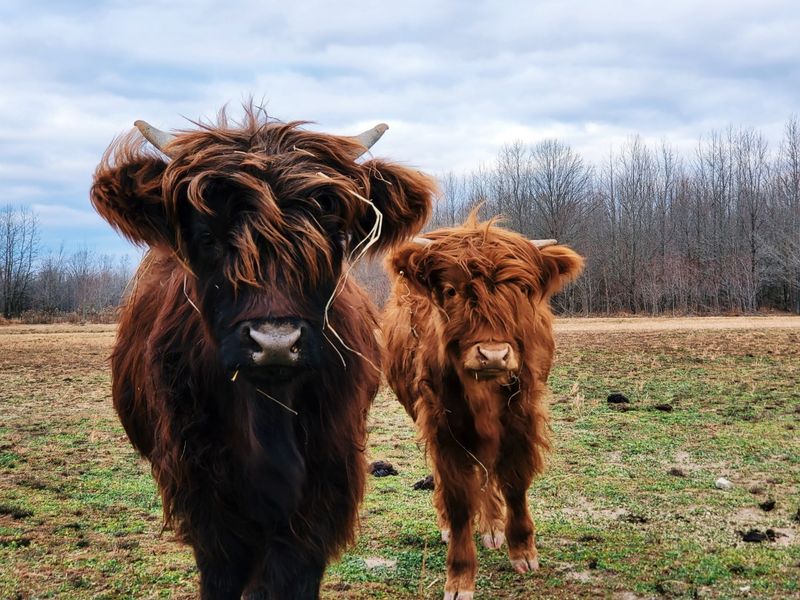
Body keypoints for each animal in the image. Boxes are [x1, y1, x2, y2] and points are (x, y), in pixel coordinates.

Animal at [90, 105, 436, 599]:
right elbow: (223, 573)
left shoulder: (325, 488)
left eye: (331, 236)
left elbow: (290, 575)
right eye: (209, 237)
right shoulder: (203, 493)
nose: (275, 342)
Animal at [382, 212, 584, 600]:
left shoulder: (521, 417)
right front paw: (459, 577)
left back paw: (492, 527)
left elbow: (515, 482)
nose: (493, 354)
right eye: (450, 290)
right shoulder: (443, 426)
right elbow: (459, 499)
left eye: (522, 290)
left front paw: (522, 550)